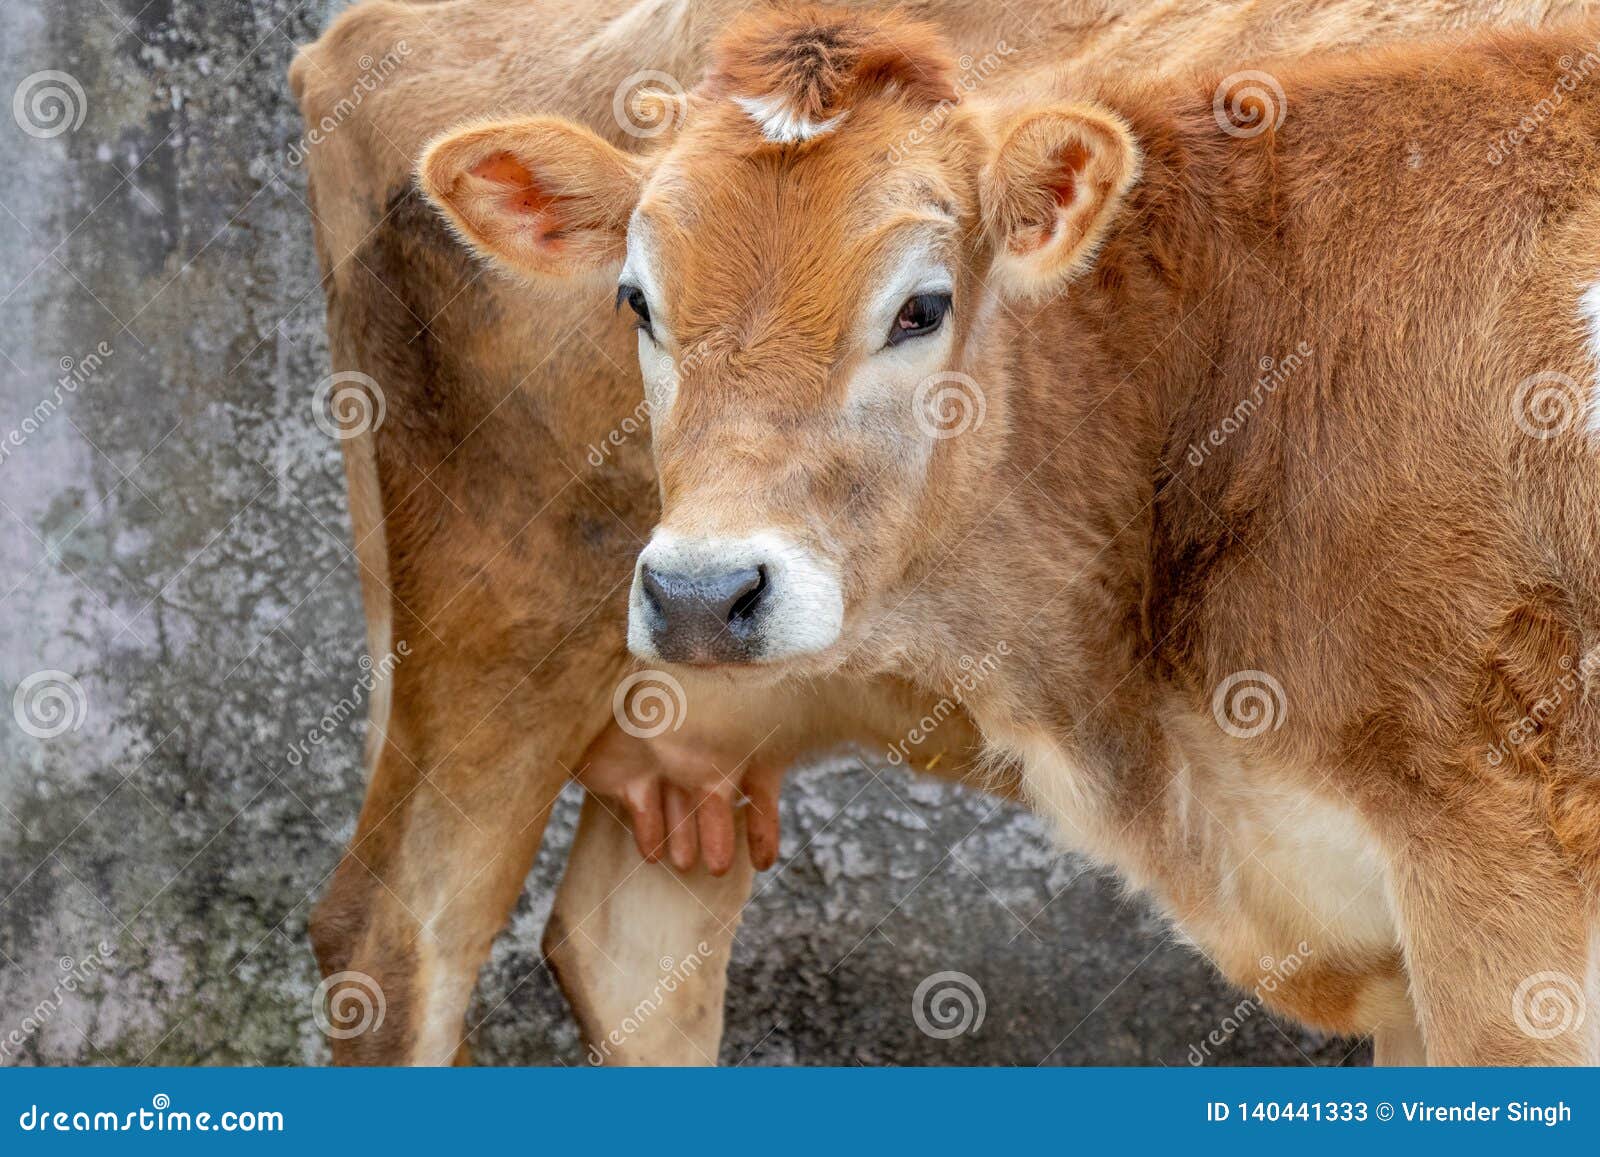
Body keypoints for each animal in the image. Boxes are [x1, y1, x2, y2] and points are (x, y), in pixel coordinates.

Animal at [295, 0, 1598, 1064]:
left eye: (920, 308)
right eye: (636, 299)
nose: (703, 593)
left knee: (629, 954)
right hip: (489, 648)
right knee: (401, 943)